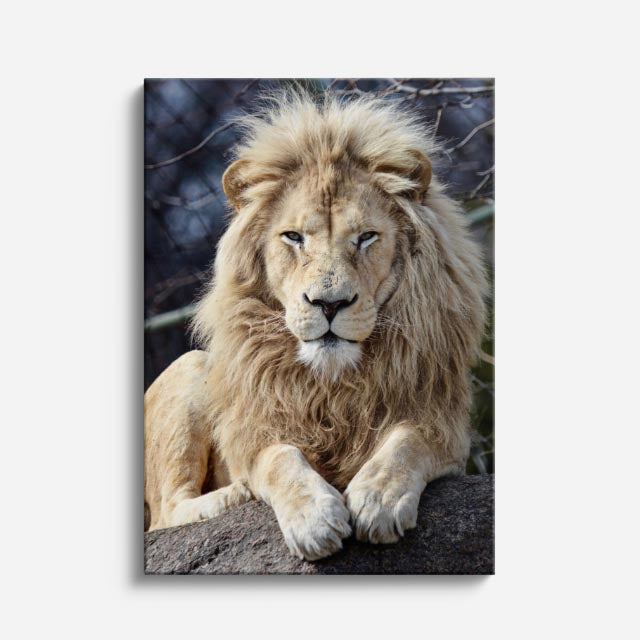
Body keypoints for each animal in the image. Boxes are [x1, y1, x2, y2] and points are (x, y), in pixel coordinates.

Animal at [144, 92, 488, 561]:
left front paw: (378, 498)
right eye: (293, 237)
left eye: (366, 237)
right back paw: (232, 495)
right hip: (192, 367)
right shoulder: (256, 433)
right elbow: (280, 460)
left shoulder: (444, 428)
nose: (329, 303)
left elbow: (407, 441)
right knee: (164, 514)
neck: (334, 382)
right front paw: (314, 518)